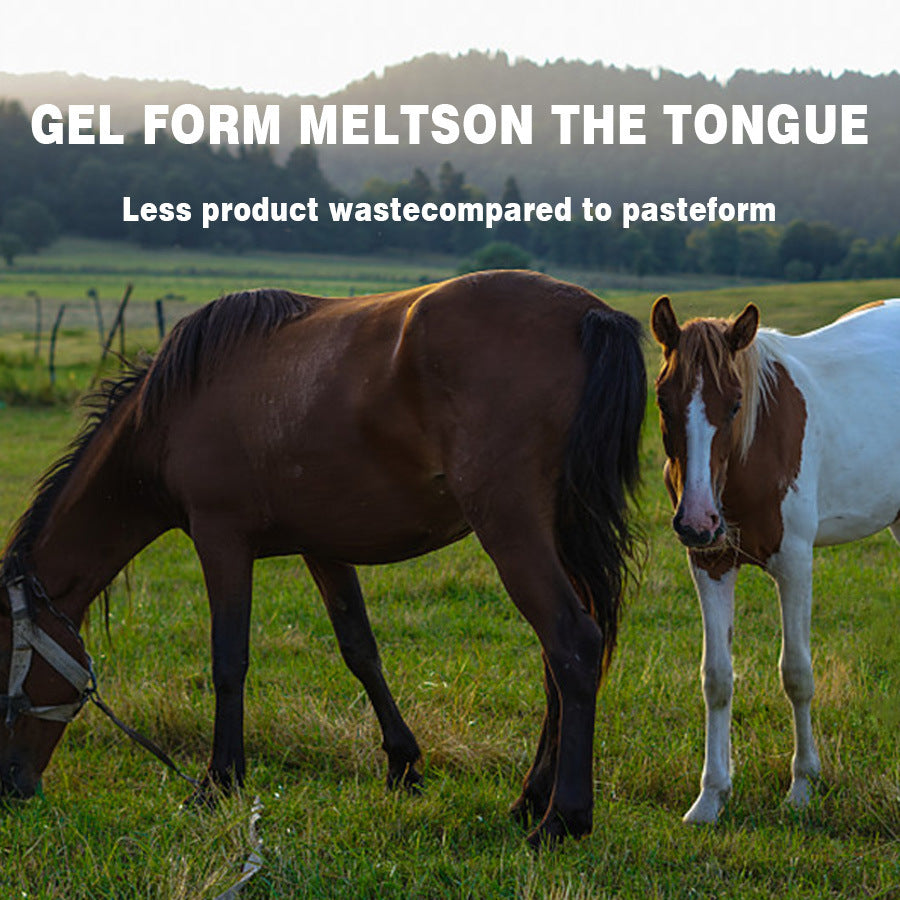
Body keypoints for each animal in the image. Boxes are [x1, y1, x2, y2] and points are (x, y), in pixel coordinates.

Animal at [0, 270, 646, 847]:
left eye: (3, 655)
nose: (12, 787)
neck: (175, 407)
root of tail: (590, 314)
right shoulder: (323, 549)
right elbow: (360, 651)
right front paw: (403, 764)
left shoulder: (221, 540)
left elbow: (229, 661)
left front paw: (219, 782)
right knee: (559, 660)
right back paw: (531, 798)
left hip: (510, 527)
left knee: (572, 644)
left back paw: (561, 819)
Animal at [650, 295, 900, 824]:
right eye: (662, 399)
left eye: (735, 403)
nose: (696, 519)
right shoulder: (710, 564)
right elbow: (717, 677)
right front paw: (711, 796)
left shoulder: (795, 564)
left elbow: (797, 675)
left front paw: (803, 786)